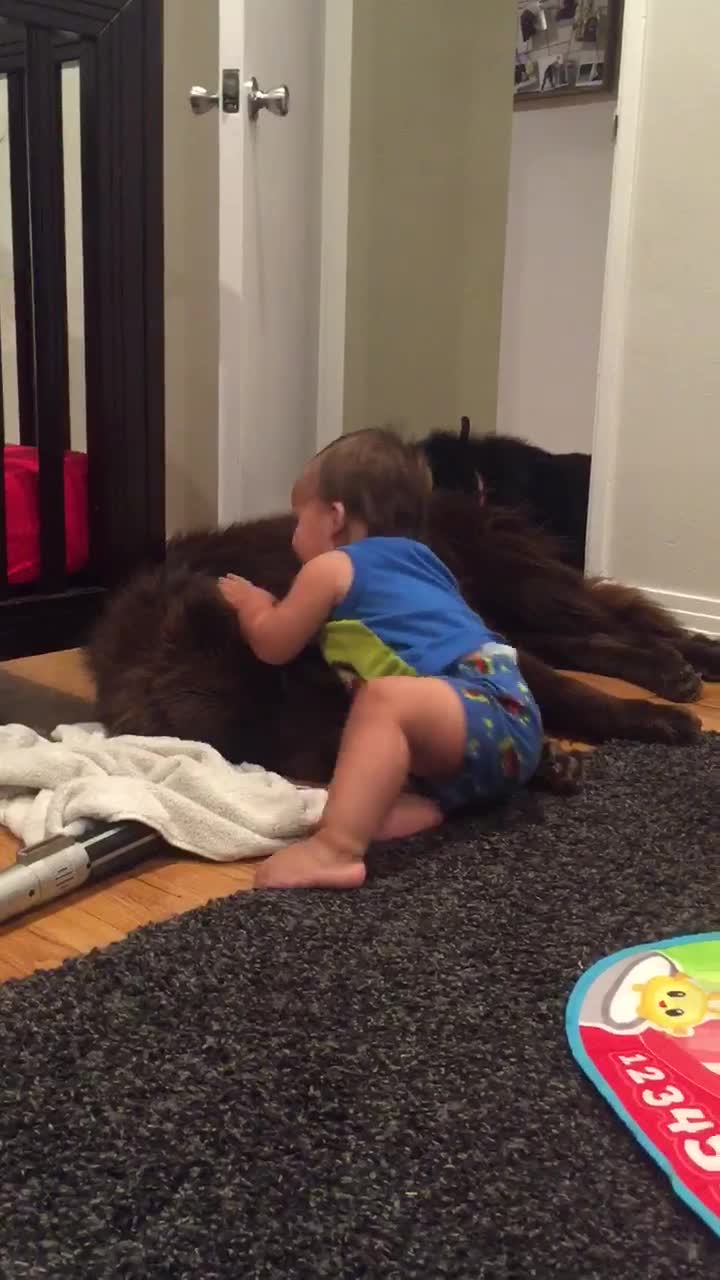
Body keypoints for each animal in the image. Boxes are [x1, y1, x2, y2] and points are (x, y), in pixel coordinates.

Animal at [87, 491, 712, 783]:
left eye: (304, 673)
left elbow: (574, 694)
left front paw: (654, 722)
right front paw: (543, 762)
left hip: (523, 586)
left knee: (618, 619)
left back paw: (695, 660)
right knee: (594, 640)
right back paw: (671, 668)